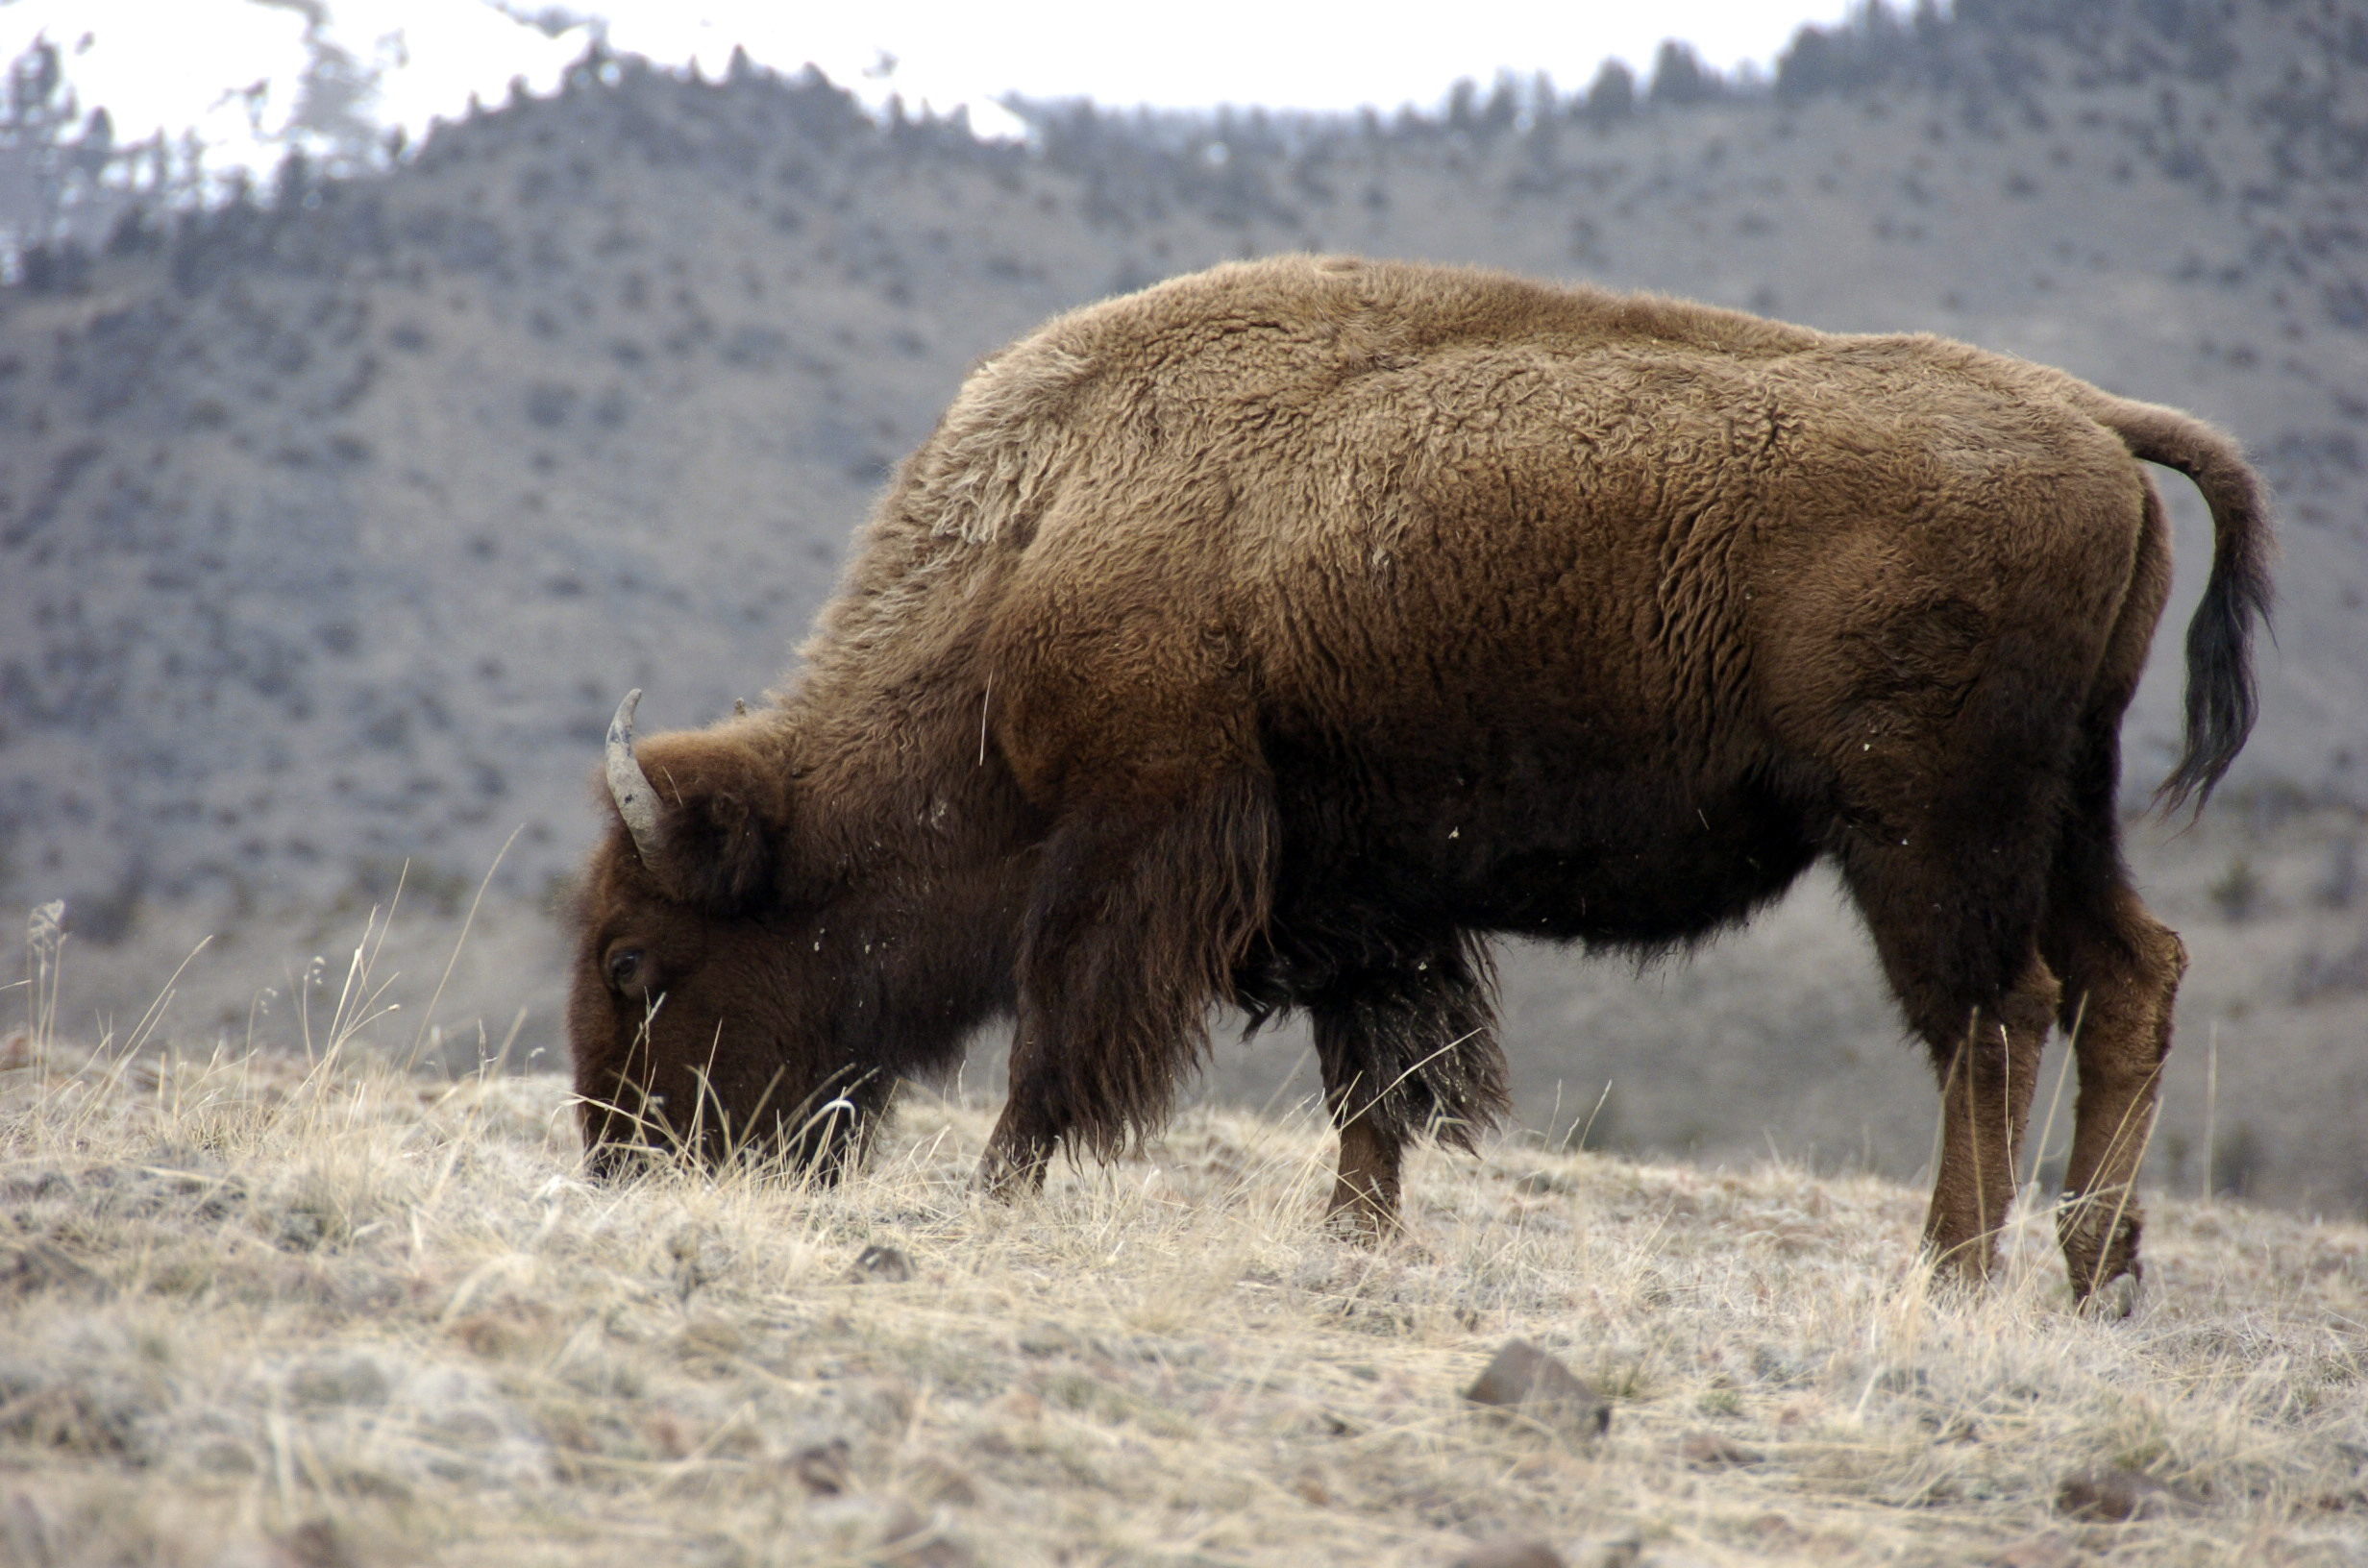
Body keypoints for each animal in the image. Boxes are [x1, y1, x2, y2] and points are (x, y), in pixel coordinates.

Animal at [563, 257, 2263, 1297]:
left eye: (637, 963)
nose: (620, 1166)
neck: (1043, 537)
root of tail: (2089, 417)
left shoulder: (1142, 842)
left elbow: (1063, 1047)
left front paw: (999, 1195)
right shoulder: (1357, 889)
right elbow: (1378, 1077)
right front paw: (1357, 1237)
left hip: (1927, 831)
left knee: (1995, 1014)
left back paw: (1956, 1273)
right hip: (2070, 814)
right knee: (2131, 974)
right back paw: (2094, 1273)